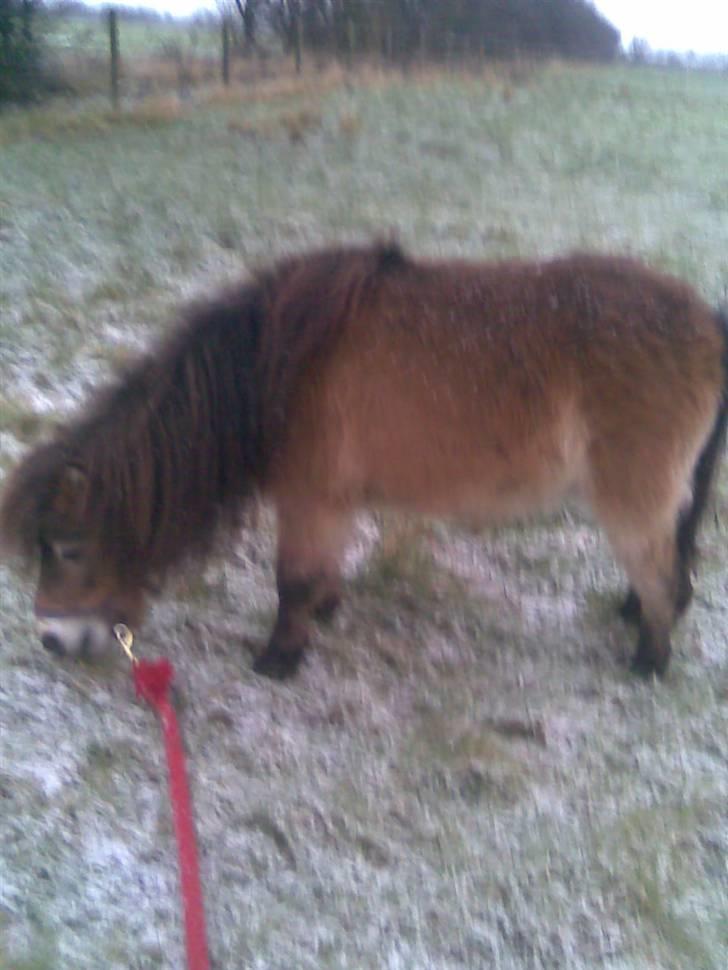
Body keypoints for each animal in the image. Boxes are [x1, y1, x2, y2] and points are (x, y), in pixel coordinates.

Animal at [1, 243, 726, 680]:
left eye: (67, 547)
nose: (52, 640)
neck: (271, 364)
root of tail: (709, 325)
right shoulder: (334, 499)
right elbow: (320, 571)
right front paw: (324, 612)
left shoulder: (309, 496)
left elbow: (291, 580)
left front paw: (279, 658)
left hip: (630, 498)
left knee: (662, 573)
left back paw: (648, 662)